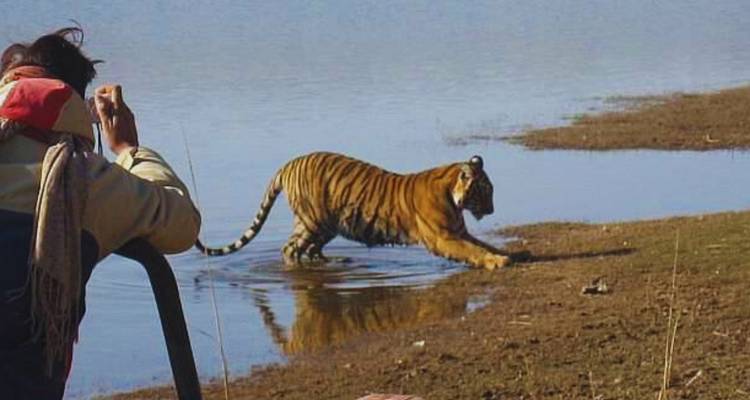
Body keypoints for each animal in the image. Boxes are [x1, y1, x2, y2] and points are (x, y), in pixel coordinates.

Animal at [195, 152, 510, 270]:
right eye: (487, 190)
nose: (493, 209)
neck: (451, 194)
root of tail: (288, 163)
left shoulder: (458, 231)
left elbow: (482, 243)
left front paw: (506, 253)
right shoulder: (443, 237)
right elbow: (473, 250)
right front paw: (496, 261)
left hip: (326, 225)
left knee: (310, 250)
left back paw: (334, 261)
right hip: (313, 221)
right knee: (290, 249)